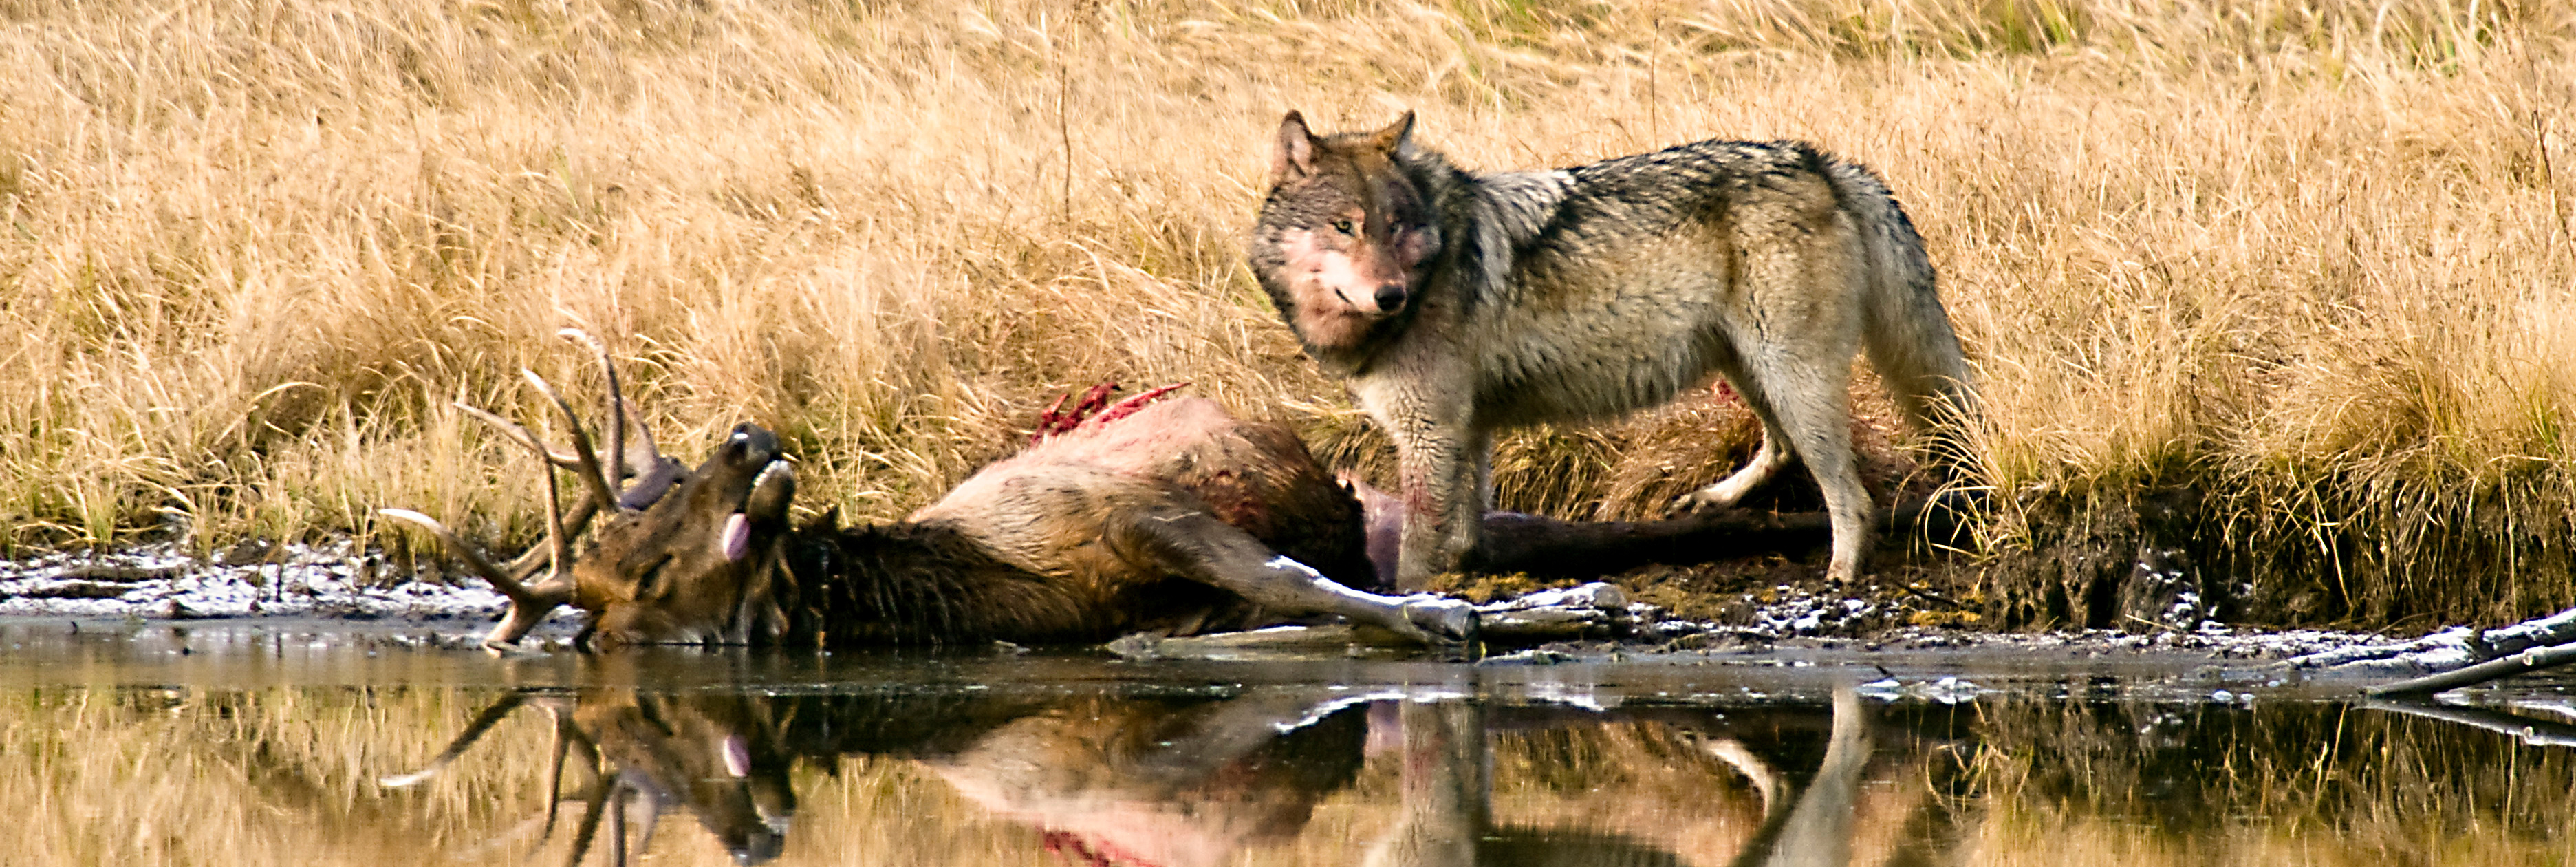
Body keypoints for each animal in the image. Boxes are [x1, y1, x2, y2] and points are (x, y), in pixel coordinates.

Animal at [1247, 111, 1975, 588]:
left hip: (1787, 371)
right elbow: (1465, 531)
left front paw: (1410, 603)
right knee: (1782, 450)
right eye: (1344, 227)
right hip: (1749, 368)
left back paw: (1841, 574)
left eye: (1396, 227)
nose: (1391, 296)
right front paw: (1466, 577)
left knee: (1849, 495)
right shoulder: (1466, 430)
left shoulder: (1430, 432)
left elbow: (1416, 555)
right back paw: (1708, 504)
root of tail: (1823, 163)